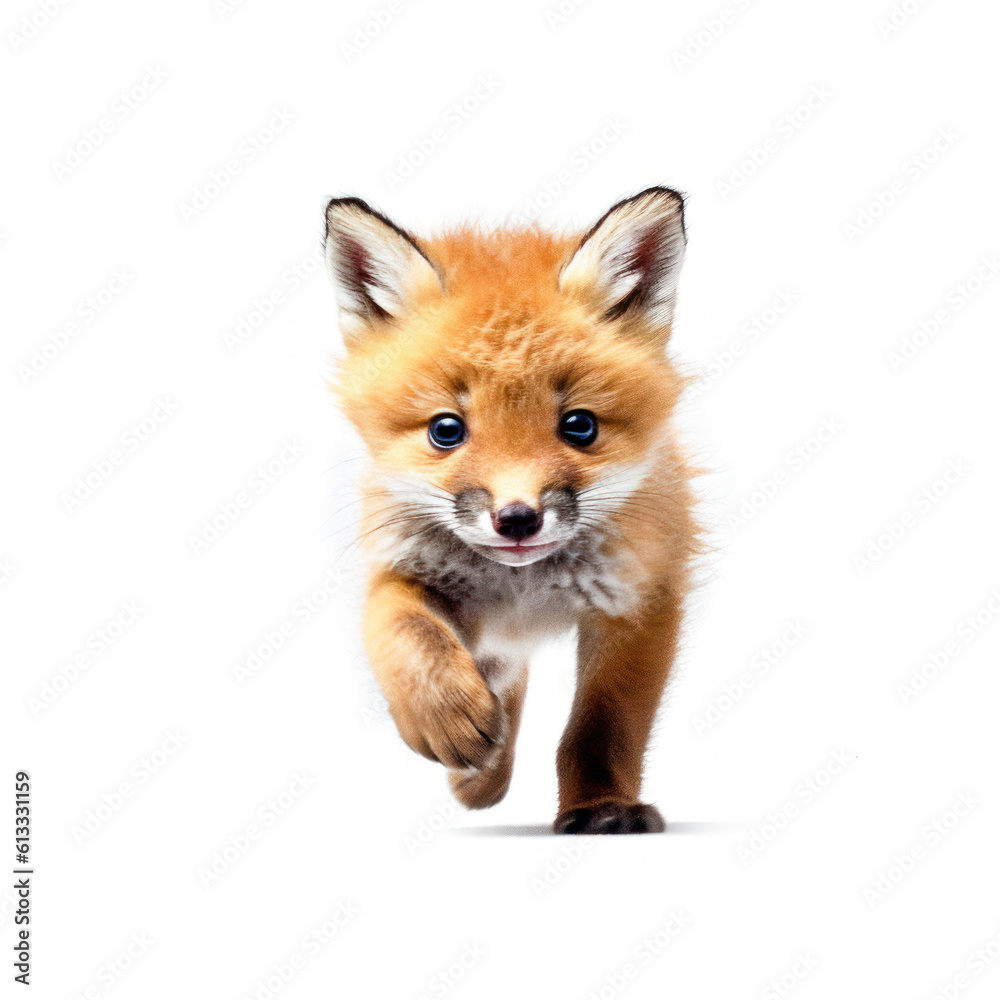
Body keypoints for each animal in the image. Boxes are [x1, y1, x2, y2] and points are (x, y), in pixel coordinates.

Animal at [323, 187, 700, 834]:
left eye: (579, 426)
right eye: (446, 430)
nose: (518, 518)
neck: (523, 589)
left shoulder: (640, 600)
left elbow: (604, 725)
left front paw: (601, 805)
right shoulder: (404, 565)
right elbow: (400, 628)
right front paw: (444, 715)